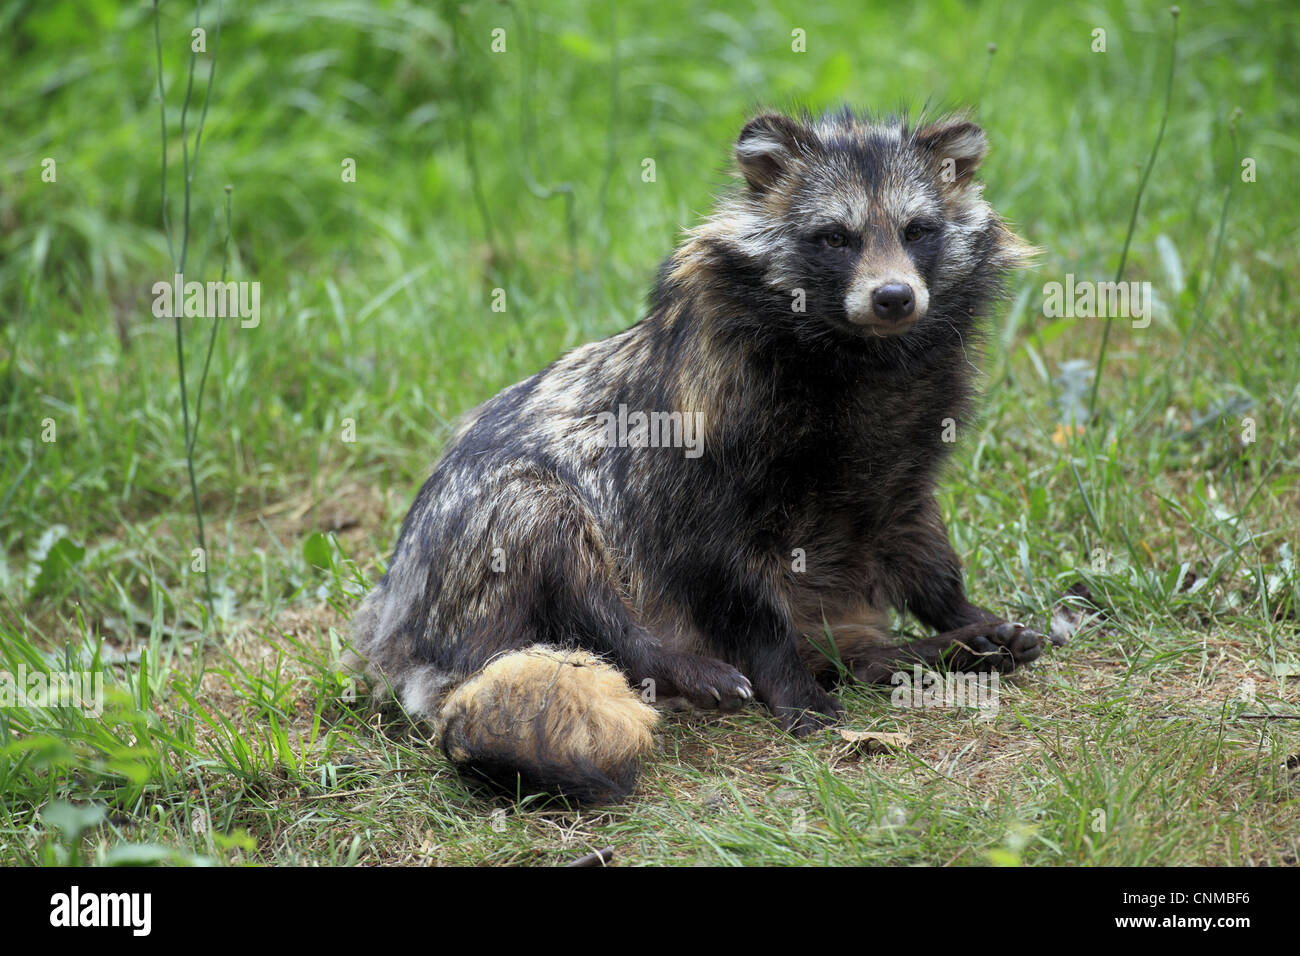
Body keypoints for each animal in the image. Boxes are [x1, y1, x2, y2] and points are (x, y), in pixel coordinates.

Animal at [347, 107, 1042, 804]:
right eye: (835, 238)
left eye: (917, 230)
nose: (894, 296)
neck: (858, 355)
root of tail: (398, 634)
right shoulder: (698, 458)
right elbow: (722, 574)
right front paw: (789, 683)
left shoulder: (904, 448)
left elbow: (917, 532)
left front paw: (960, 610)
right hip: (475, 545)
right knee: (547, 526)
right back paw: (668, 657)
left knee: (852, 643)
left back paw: (926, 651)